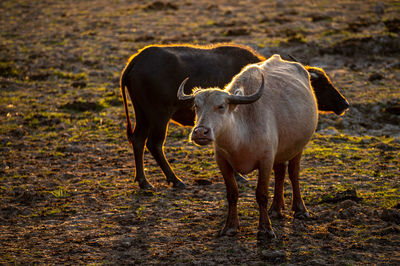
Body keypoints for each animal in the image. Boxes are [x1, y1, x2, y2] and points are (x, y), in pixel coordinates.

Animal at [120, 43, 348, 189]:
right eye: (323, 83)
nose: (344, 104)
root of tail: (135, 61)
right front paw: (240, 177)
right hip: (159, 116)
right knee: (154, 143)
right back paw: (175, 180)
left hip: (142, 114)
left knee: (138, 140)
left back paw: (143, 181)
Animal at [178, 54, 318, 239]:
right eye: (196, 106)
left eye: (221, 106)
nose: (200, 132)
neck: (240, 140)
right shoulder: (223, 163)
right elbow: (232, 194)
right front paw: (230, 226)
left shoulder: (265, 160)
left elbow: (261, 194)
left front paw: (265, 229)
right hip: (280, 151)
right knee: (280, 173)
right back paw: (276, 209)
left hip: (298, 147)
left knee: (293, 173)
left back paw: (300, 209)